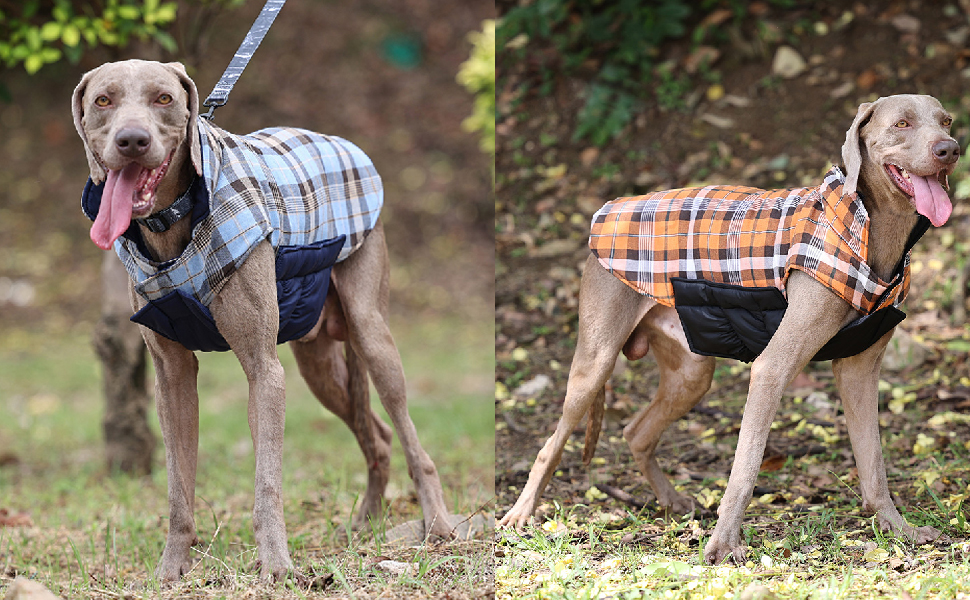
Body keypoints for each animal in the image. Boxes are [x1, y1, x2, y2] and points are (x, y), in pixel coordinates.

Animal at [73, 61, 452, 580]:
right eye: (103, 101)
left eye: (164, 99)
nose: (132, 140)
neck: (174, 223)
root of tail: (345, 143)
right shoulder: (171, 377)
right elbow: (177, 487)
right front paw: (172, 567)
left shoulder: (263, 369)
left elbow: (267, 481)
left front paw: (276, 565)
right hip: (321, 366)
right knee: (378, 435)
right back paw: (366, 523)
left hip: (371, 331)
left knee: (410, 436)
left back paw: (438, 524)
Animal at [502, 94, 956, 564]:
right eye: (902, 124)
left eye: (947, 121)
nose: (951, 150)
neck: (869, 230)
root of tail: (609, 209)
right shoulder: (773, 368)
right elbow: (746, 465)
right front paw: (723, 544)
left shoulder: (859, 371)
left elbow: (874, 464)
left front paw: (899, 529)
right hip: (595, 363)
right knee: (550, 446)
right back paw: (519, 516)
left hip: (691, 374)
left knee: (636, 433)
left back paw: (672, 501)